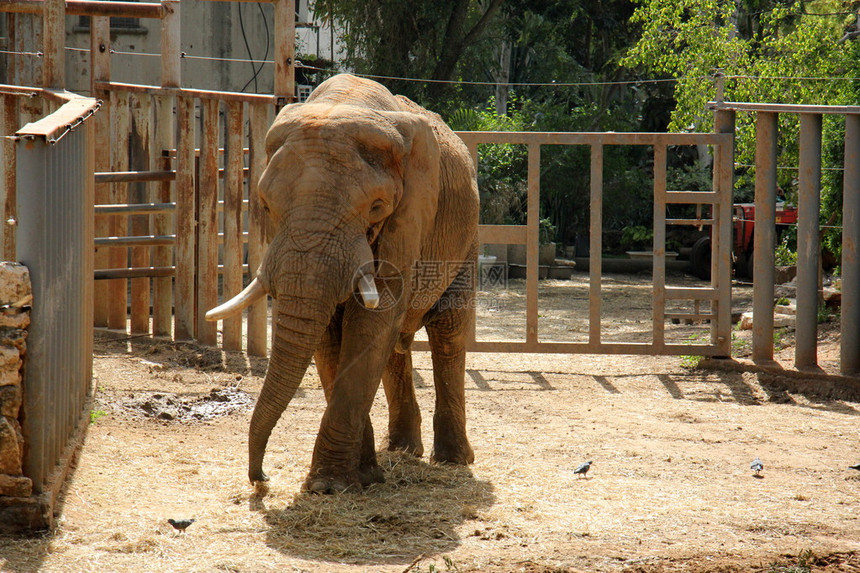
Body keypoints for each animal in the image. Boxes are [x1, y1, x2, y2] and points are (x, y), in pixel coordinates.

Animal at [206, 72, 480, 492]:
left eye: (377, 207)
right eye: (265, 205)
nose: (261, 478)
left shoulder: (409, 219)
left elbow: (371, 322)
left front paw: (329, 484)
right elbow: (332, 335)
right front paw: (358, 477)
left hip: (466, 239)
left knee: (448, 331)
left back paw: (452, 460)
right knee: (395, 348)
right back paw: (402, 450)